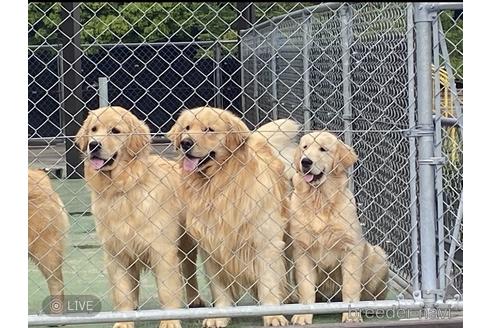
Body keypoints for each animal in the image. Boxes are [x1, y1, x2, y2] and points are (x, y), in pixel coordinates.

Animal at [75, 105, 202, 328]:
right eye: (93, 129)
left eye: (115, 131)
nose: (93, 145)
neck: (122, 189)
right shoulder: (116, 252)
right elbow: (122, 292)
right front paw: (124, 321)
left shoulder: (162, 249)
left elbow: (167, 290)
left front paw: (170, 321)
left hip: (187, 242)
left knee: (189, 269)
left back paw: (195, 300)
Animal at [168, 106, 300, 326]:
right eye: (187, 127)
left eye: (209, 129)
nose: (186, 142)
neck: (220, 184)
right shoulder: (211, 245)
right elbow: (219, 287)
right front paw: (220, 316)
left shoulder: (265, 243)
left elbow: (269, 282)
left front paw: (273, 315)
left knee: (287, 266)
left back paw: (290, 295)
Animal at [288, 132, 388, 324]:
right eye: (305, 147)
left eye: (323, 149)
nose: (305, 161)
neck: (319, 201)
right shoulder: (301, 250)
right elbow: (306, 287)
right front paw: (303, 314)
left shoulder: (351, 249)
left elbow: (350, 287)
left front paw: (351, 315)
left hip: (378, 255)